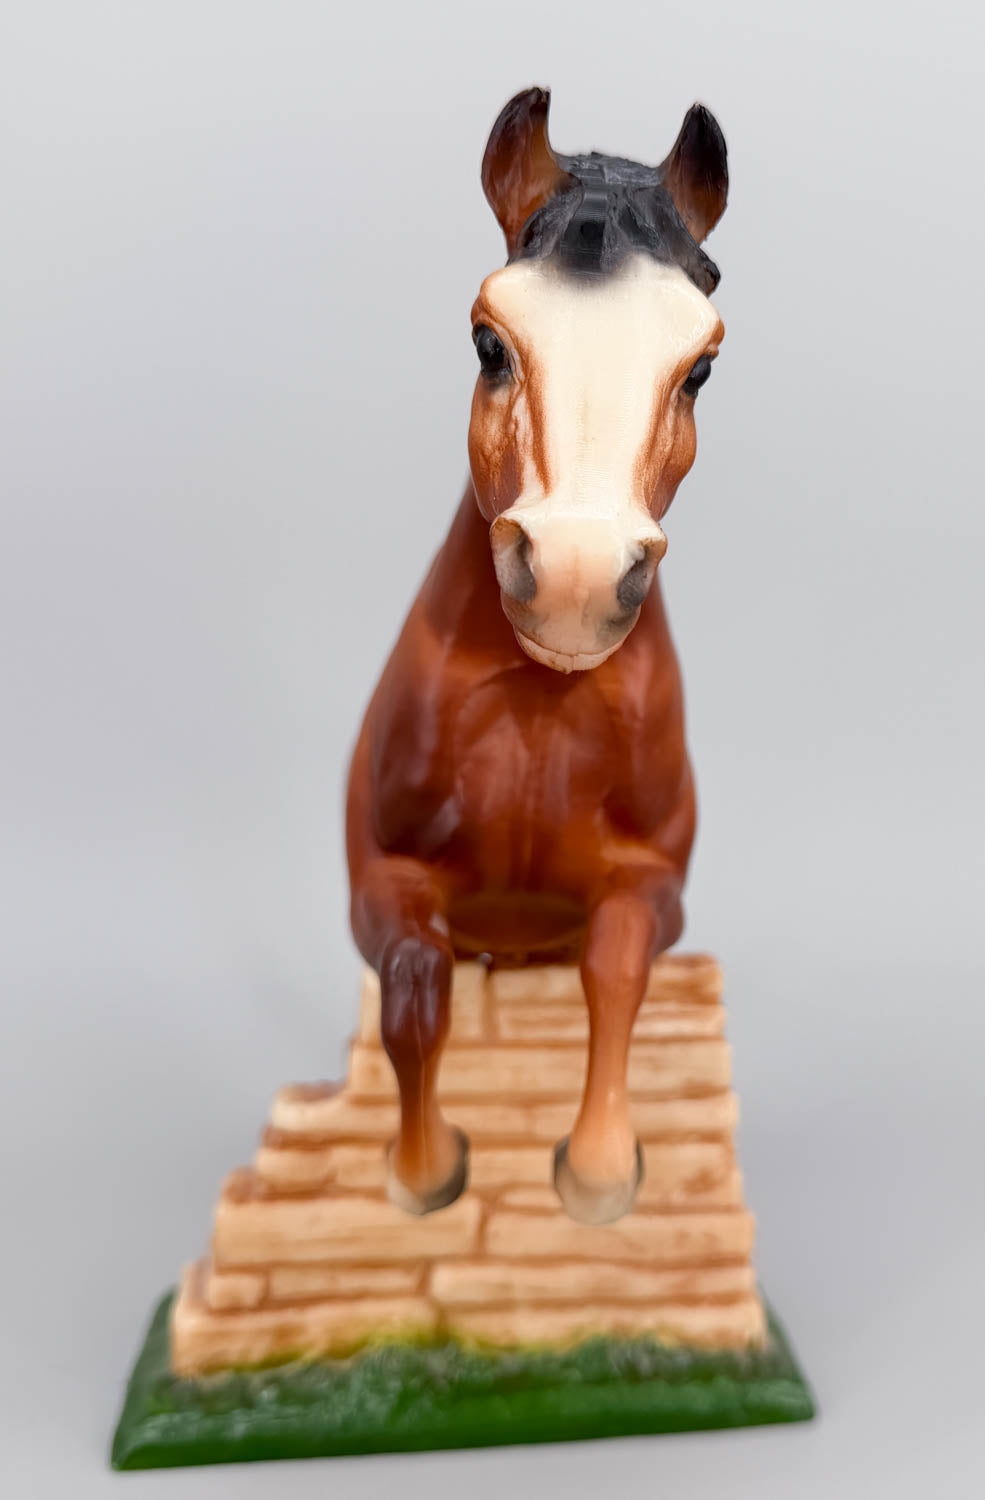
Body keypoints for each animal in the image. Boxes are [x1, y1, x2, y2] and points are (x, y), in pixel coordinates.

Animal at [346, 87, 729, 1226]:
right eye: (488, 342)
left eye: (699, 366)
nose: (572, 577)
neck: (536, 706)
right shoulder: (381, 880)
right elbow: (417, 992)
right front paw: (422, 1171)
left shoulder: (654, 886)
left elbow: (616, 968)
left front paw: (598, 1173)